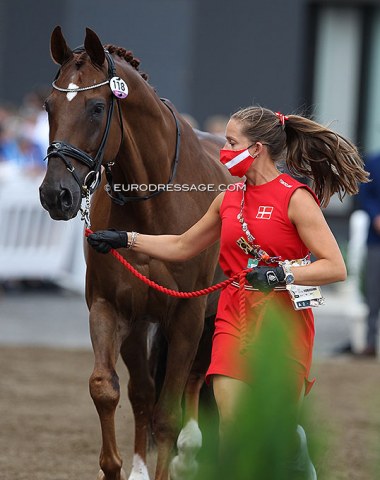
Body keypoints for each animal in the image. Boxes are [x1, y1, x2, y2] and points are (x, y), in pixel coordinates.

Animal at [38, 27, 230, 480]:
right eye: (49, 105)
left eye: (95, 107)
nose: (56, 194)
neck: (153, 205)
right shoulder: (110, 307)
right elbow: (106, 388)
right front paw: (114, 466)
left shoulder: (187, 315)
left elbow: (168, 415)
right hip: (143, 321)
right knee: (143, 393)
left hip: (209, 318)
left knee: (194, 382)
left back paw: (189, 454)